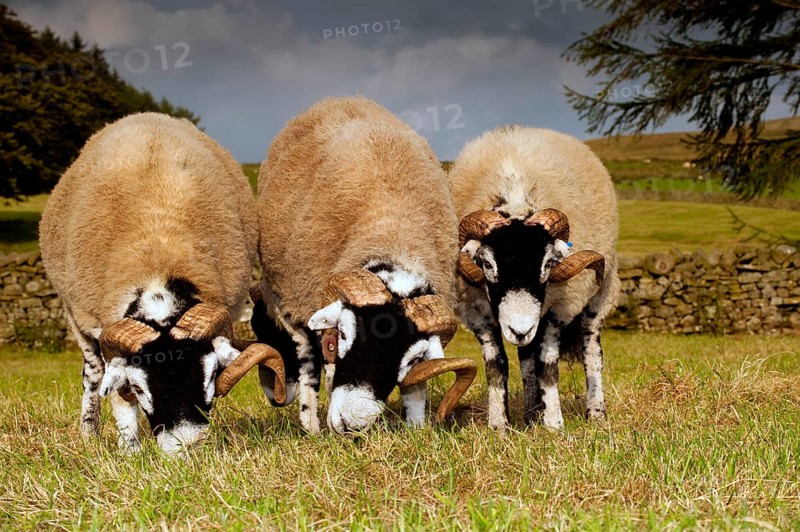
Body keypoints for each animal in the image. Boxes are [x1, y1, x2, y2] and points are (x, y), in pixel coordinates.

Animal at [39, 113, 285, 453]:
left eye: (210, 377)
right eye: (140, 388)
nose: (184, 447)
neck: (156, 260)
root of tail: (145, 116)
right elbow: (118, 398)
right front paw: (130, 451)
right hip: (76, 317)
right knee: (92, 374)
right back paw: (89, 433)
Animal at [252, 96, 476, 434]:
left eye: (410, 360)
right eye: (340, 339)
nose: (351, 424)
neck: (393, 234)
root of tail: (340, 99)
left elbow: (416, 388)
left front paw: (417, 429)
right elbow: (318, 370)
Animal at [448, 125, 619, 431]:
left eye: (549, 263)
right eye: (486, 263)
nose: (519, 330)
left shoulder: (559, 308)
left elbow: (548, 365)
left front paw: (553, 425)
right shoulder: (477, 312)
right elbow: (497, 366)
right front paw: (499, 426)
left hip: (598, 296)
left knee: (591, 353)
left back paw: (596, 414)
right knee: (526, 361)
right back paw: (530, 415)